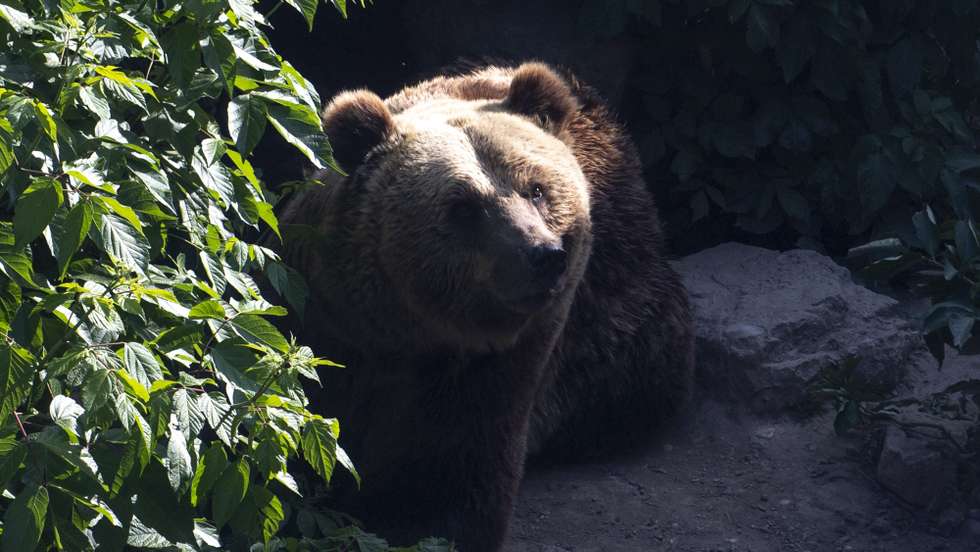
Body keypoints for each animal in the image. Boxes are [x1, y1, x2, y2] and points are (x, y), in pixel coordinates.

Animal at [277, 62, 694, 551]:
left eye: (536, 189)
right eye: (464, 206)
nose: (543, 254)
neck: (406, 334)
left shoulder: (495, 373)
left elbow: (450, 483)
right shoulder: (323, 323)